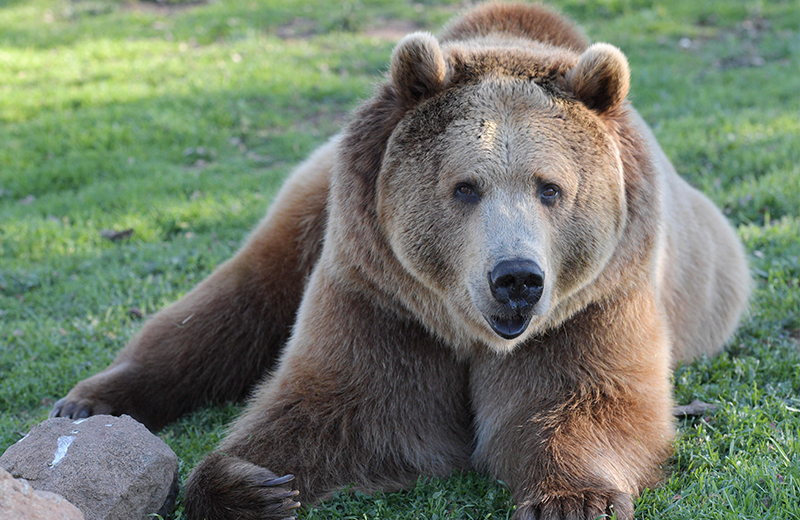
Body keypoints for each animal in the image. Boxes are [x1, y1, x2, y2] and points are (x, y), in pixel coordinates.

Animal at [50, 4, 752, 520]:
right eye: (465, 187)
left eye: (550, 187)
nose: (517, 279)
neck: (471, 334)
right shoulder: (383, 298)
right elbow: (342, 407)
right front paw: (253, 483)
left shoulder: (593, 299)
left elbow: (585, 399)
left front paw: (572, 500)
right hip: (311, 212)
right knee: (230, 307)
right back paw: (87, 403)